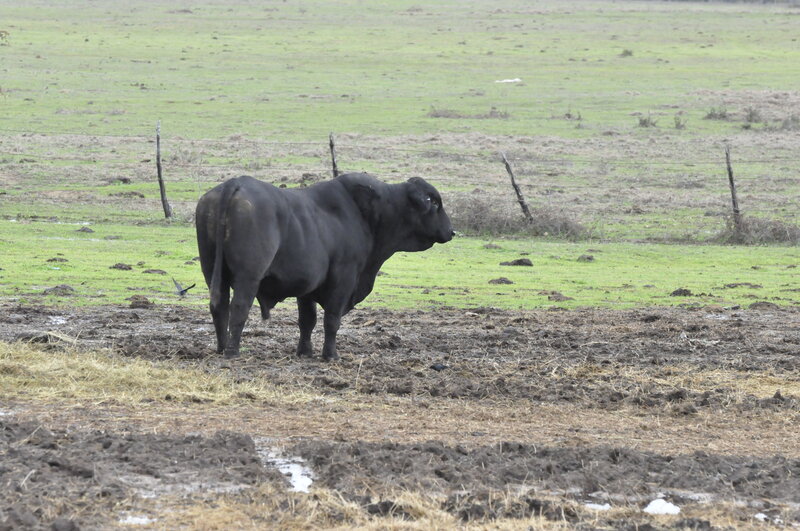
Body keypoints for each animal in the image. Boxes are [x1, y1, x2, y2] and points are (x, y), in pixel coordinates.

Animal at [195, 172, 454, 361]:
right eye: (435, 203)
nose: (451, 231)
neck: (367, 213)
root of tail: (236, 183)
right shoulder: (343, 280)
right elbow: (331, 320)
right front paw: (330, 355)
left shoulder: (307, 287)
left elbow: (307, 321)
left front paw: (305, 352)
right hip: (248, 276)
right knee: (239, 307)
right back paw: (232, 351)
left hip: (212, 271)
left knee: (220, 307)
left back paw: (221, 347)